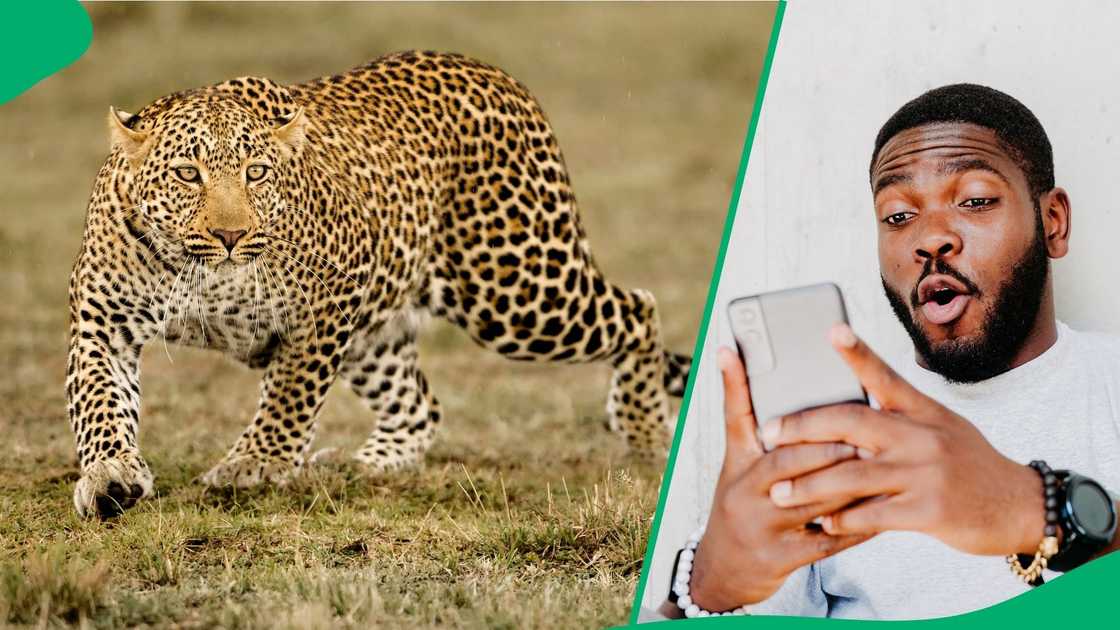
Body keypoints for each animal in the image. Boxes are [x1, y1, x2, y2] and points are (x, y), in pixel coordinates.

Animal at [67, 50, 693, 518]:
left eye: (256, 173)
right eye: (187, 174)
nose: (230, 234)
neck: (202, 275)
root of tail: (497, 75)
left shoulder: (333, 295)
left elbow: (291, 391)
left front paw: (256, 464)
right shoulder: (102, 321)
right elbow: (99, 402)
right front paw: (111, 475)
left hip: (517, 289)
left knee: (639, 310)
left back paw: (645, 432)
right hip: (383, 333)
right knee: (420, 406)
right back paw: (361, 464)